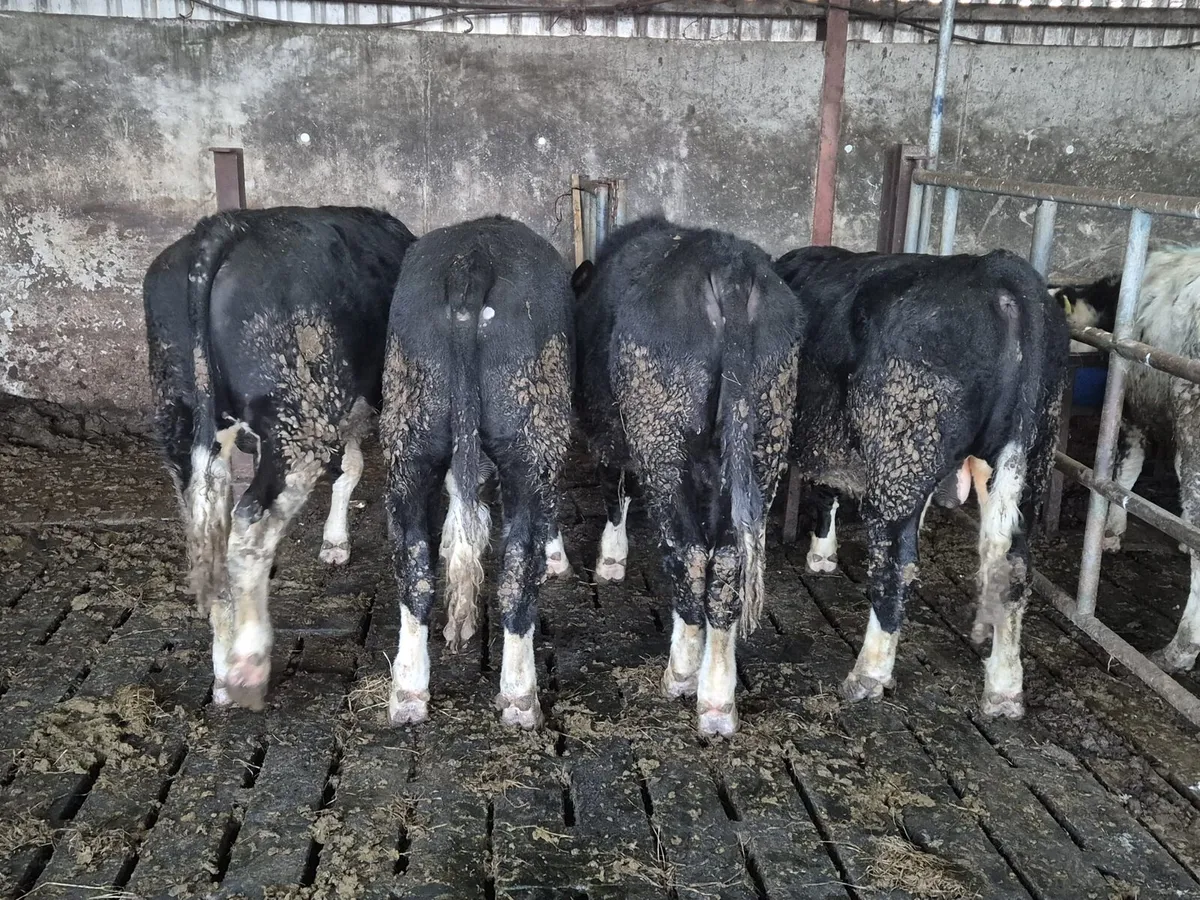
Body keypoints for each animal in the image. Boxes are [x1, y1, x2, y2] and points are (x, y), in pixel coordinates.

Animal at [143, 206, 416, 710]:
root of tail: (223, 227)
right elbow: (358, 467)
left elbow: (349, 467)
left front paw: (335, 542)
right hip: (298, 418)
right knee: (249, 525)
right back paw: (249, 665)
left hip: (178, 417)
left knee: (208, 530)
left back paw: (222, 668)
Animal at [381, 216, 574, 729]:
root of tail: (472, 259)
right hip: (532, 435)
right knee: (517, 569)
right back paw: (521, 698)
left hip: (410, 429)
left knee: (414, 564)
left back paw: (409, 692)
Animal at [572, 216, 804, 736]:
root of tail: (729, 264)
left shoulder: (605, 429)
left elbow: (614, 489)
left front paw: (610, 560)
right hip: (767, 425)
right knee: (728, 560)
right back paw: (717, 695)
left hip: (660, 428)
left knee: (689, 550)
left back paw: (682, 674)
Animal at [777, 246, 1068, 718]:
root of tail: (994, 268)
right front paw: (823, 553)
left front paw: (819, 555)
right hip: (1032, 456)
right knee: (1014, 567)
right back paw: (1004, 687)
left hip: (902, 450)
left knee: (895, 564)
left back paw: (868, 675)